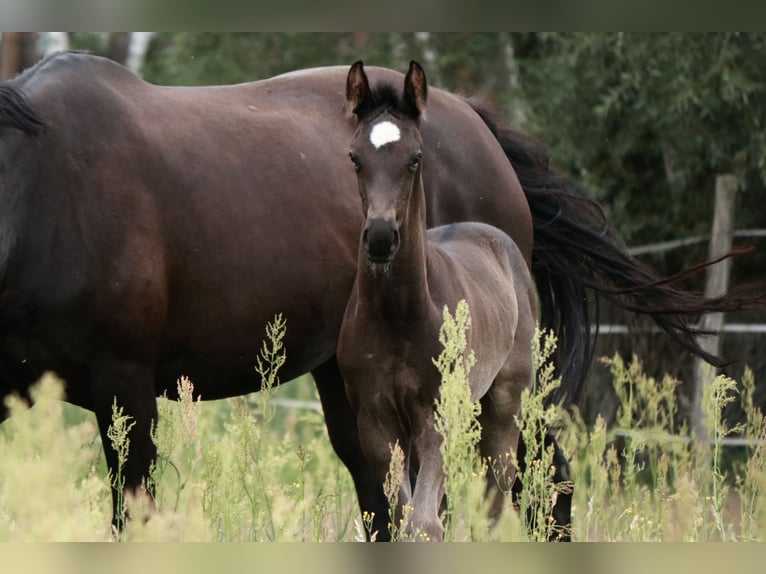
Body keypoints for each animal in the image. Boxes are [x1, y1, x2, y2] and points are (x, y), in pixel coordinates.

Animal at [0, 50, 760, 540]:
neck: (44, 190)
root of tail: (482, 130)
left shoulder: (126, 388)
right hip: (352, 390)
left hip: (493, 391)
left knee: (543, 487)